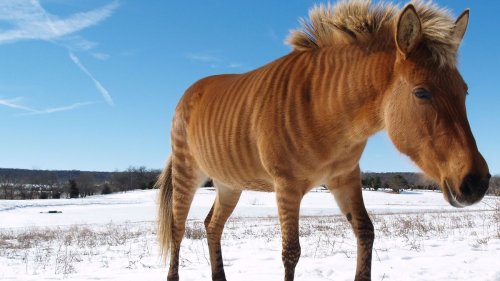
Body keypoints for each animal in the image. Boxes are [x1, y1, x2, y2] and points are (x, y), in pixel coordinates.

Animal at [158, 1, 490, 278]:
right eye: (421, 92)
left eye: (465, 91)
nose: (477, 183)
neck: (325, 109)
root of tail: (190, 91)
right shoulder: (286, 185)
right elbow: (291, 253)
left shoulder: (344, 177)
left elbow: (365, 232)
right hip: (188, 173)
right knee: (178, 228)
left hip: (229, 183)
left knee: (212, 225)